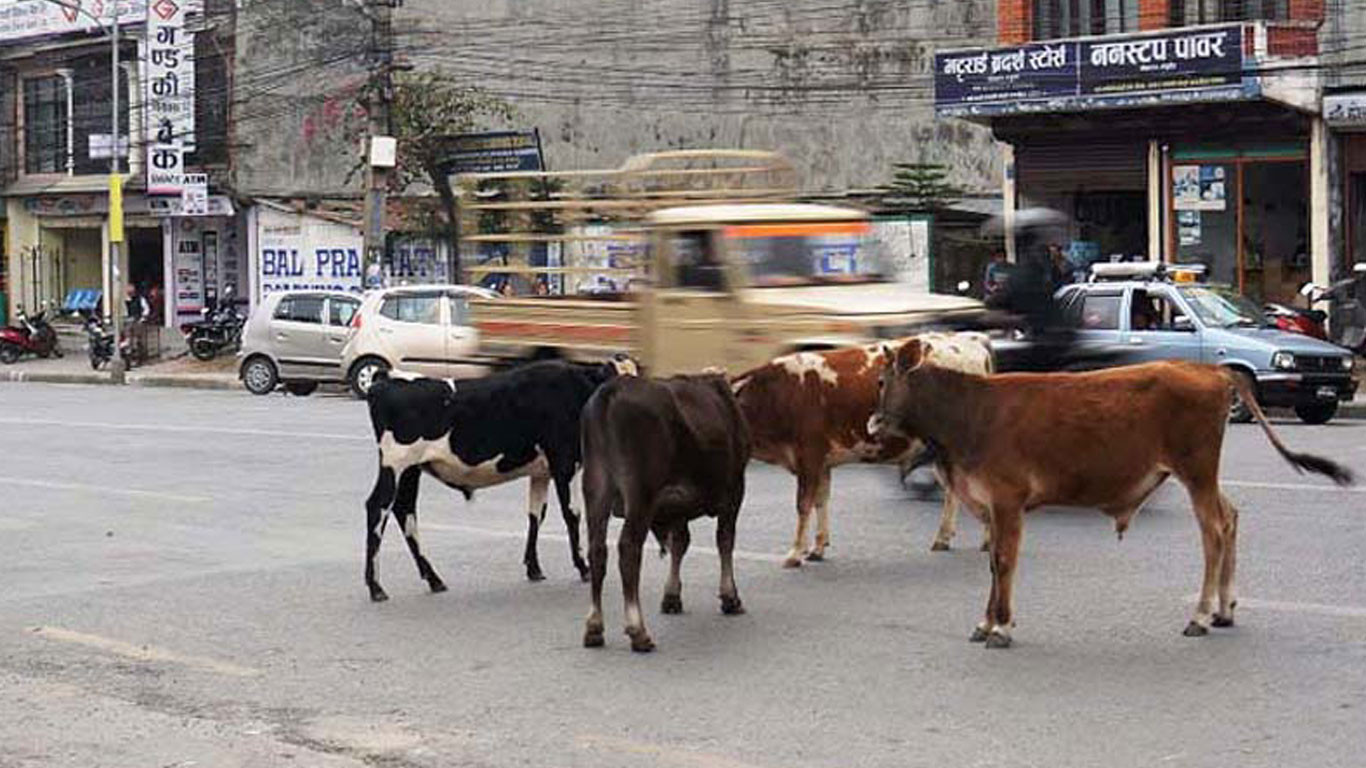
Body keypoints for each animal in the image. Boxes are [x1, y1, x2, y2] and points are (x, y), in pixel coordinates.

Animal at [363, 355, 639, 601]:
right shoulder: (564, 463)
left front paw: (534, 568)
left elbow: (536, 515)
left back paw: (433, 579)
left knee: (404, 510)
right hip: (395, 464)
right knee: (378, 507)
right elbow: (571, 515)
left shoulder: (541, 471)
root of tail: (387, 377)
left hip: (411, 469)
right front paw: (583, 567)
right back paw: (376, 586)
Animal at [576, 374, 748, 647]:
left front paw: (671, 597)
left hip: (596, 485)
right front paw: (730, 597)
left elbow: (680, 543)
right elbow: (725, 541)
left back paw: (594, 628)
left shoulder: (677, 506)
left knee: (597, 550)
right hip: (640, 492)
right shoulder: (734, 491)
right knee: (629, 548)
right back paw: (638, 630)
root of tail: (611, 389)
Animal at [737, 332, 994, 565]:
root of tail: (970, 339)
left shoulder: (808, 456)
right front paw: (817, 547)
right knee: (953, 491)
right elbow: (821, 500)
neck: (777, 393)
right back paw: (945, 538)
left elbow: (803, 504)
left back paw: (985, 540)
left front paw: (794, 554)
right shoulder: (821, 462)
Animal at [868, 344, 1349, 647]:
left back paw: (1198, 616)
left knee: (1213, 531)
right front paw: (987, 622)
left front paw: (1000, 627)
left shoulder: (1007, 501)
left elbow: (1003, 562)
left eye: (881, 382)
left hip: (1196, 470)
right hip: (1203, 475)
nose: (872, 422)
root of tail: (1210, 369)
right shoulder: (989, 504)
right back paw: (1224, 610)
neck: (970, 413)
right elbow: (992, 564)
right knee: (1229, 517)